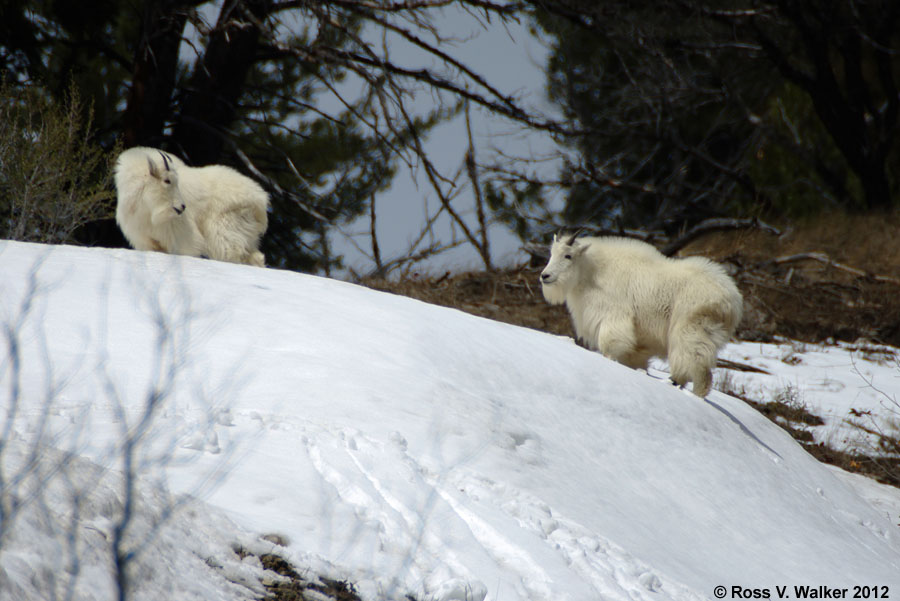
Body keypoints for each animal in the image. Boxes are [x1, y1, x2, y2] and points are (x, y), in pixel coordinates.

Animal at [113, 146, 268, 266]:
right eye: (167, 180)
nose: (182, 207)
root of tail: (259, 200)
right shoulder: (146, 240)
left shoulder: (181, 236)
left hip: (224, 231)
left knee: (233, 254)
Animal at [536, 232, 740, 396]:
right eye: (551, 254)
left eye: (568, 255)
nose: (545, 276)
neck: (592, 272)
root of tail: (731, 303)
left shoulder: (613, 317)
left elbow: (610, 345)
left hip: (691, 331)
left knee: (698, 369)